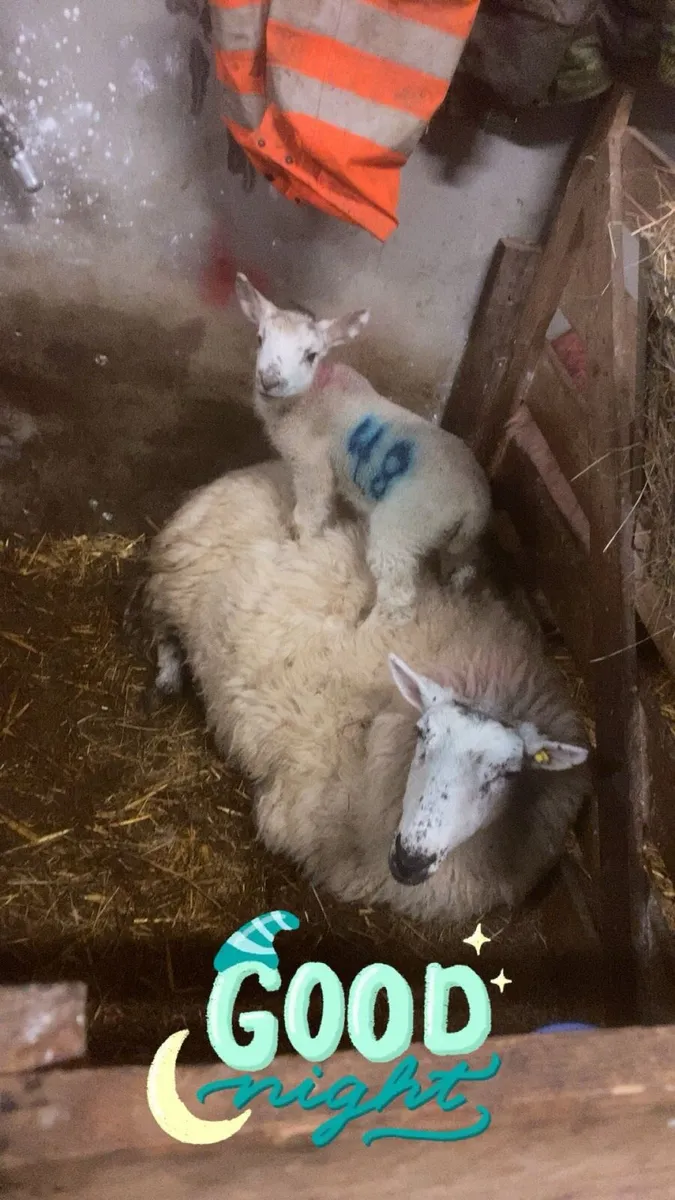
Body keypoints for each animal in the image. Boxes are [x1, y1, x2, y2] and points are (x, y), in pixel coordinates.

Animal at [142, 459, 591, 925]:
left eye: (508, 773)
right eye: (422, 735)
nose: (411, 858)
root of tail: (252, 472)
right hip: (175, 582)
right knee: (161, 628)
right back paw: (168, 678)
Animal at [234, 274, 492, 624]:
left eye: (311, 355)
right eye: (260, 338)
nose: (269, 380)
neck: (309, 398)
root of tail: (476, 499)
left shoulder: (312, 465)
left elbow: (308, 515)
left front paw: (302, 546)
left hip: (403, 523)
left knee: (398, 596)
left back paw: (364, 630)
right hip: (453, 536)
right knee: (464, 564)